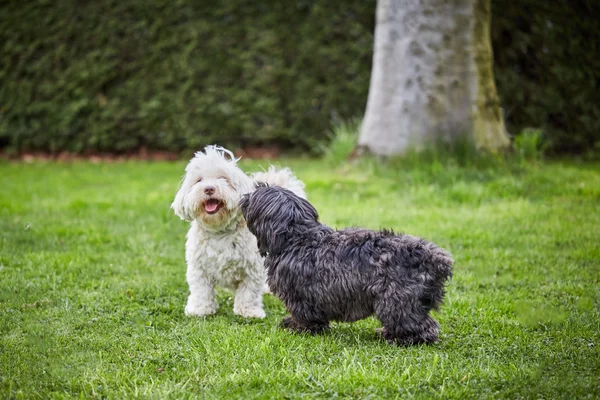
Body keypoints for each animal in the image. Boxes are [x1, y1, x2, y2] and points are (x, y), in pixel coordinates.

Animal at [172, 147, 304, 318]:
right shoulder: (199, 267)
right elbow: (201, 291)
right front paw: (201, 309)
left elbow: (249, 292)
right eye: (199, 180)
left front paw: (248, 311)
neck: (220, 230)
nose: (209, 189)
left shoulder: (252, 268)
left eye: (223, 178)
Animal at [238, 184, 450, 344]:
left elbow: (303, 315)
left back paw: (400, 338)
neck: (297, 238)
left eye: (255, 195)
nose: (245, 196)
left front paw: (298, 327)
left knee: (421, 326)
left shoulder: (299, 295)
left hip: (396, 301)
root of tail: (434, 258)